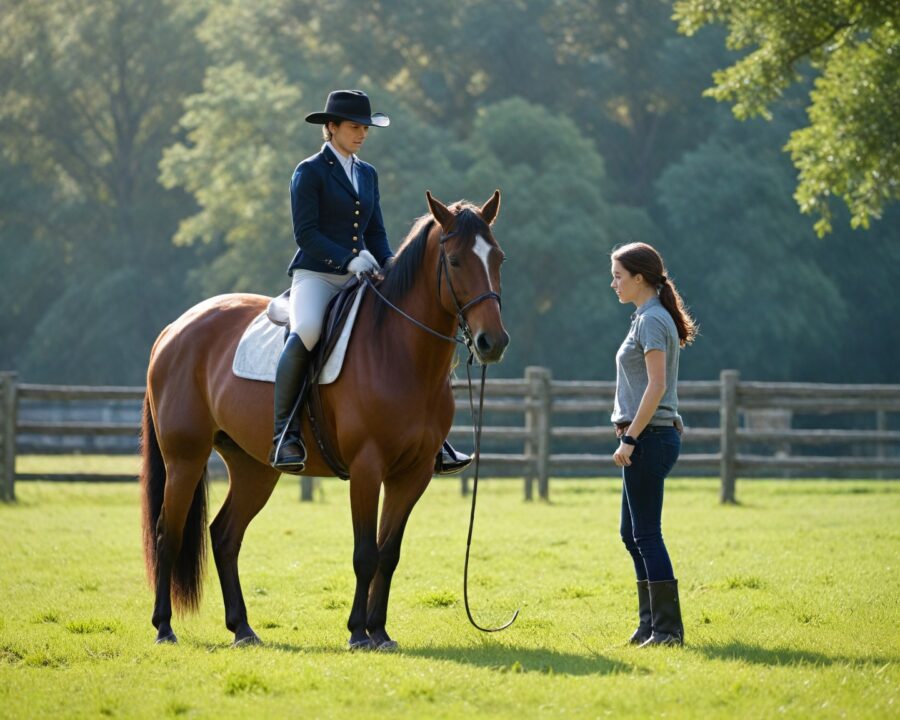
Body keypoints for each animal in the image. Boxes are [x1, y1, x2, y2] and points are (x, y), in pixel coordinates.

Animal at [140, 191, 508, 650]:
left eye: (498, 258)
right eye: (455, 261)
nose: (492, 342)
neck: (399, 353)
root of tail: (175, 328)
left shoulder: (413, 473)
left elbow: (389, 553)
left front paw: (380, 631)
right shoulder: (367, 468)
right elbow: (365, 553)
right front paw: (358, 633)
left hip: (254, 467)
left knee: (225, 536)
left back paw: (243, 629)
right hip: (184, 459)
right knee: (167, 535)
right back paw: (164, 628)